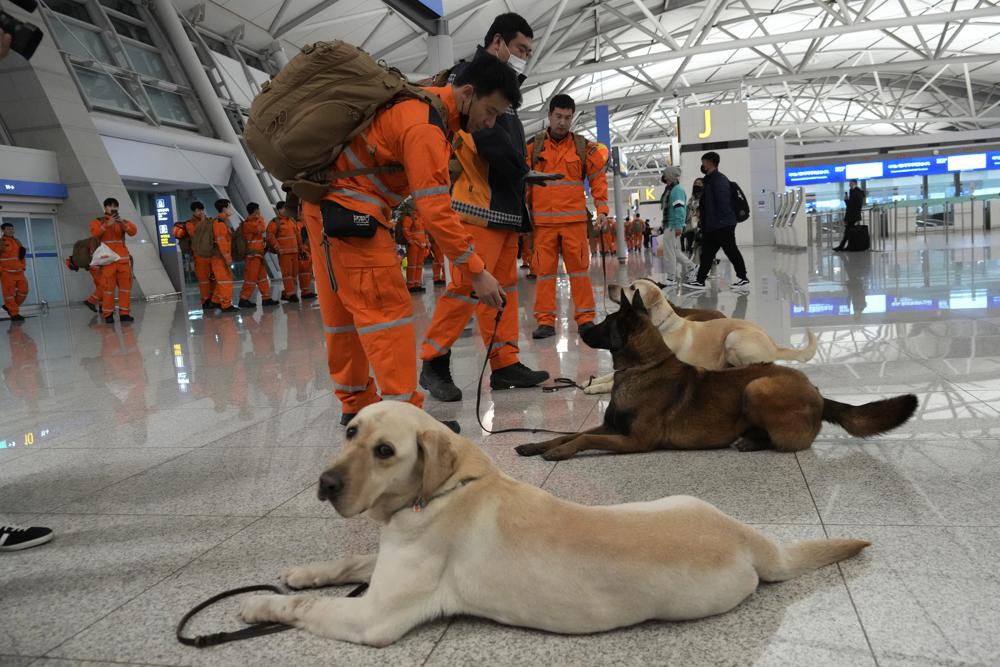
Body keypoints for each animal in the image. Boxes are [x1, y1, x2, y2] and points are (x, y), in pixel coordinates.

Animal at [240, 402, 868, 648]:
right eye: (351, 432)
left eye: (385, 451)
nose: (325, 484)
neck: (445, 490)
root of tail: (751, 538)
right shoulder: (388, 557)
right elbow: (349, 561)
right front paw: (302, 571)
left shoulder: (374, 616)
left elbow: (307, 609)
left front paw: (257, 606)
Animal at [584, 280, 812, 396]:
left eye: (632, 288)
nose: (609, 286)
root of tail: (774, 344)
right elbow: (609, 375)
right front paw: (590, 382)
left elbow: (611, 381)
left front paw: (593, 388)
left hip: (733, 337)